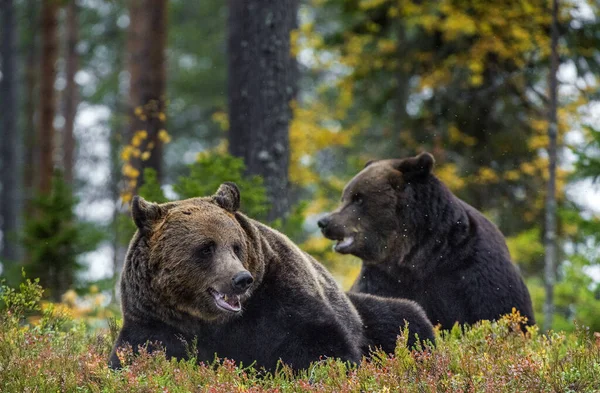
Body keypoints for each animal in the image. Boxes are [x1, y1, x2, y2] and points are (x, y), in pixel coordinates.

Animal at [109, 182, 364, 370]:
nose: (241, 279)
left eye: (236, 246)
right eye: (206, 248)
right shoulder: (154, 321)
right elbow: (136, 355)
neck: (209, 322)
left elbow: (323, 346)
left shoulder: (279, 302)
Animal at [318, 152, 536, 330]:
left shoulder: (474, 270)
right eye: (344, 197)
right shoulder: (383, 278)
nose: (324, 222)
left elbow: (499, 308)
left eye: (358, 198)